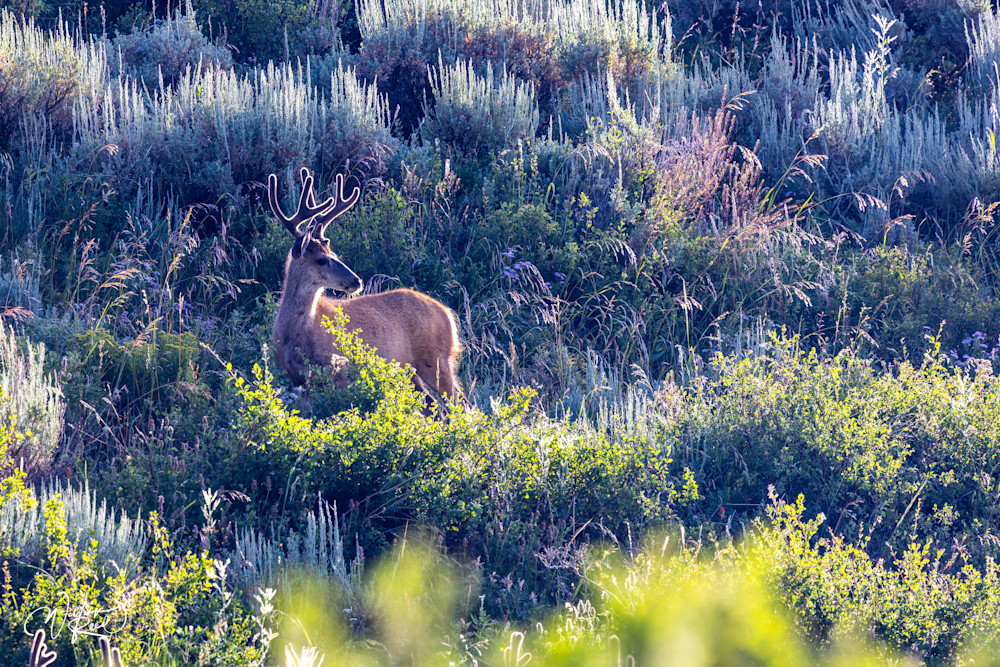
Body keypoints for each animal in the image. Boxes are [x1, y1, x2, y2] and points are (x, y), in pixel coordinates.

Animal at [268, 167, 467, 408]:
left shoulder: (341, 373)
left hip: (435, 359)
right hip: (410, 371)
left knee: (463, 404)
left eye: (333, 253)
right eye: (321, 260)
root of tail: (447, 314)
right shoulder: (297, 382)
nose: (357, 281)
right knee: (435, 409)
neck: (297, 335)